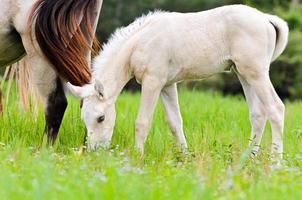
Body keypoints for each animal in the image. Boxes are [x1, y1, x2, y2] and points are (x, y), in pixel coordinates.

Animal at [67, 4, 290, 161]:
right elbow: (175, 122)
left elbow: (142, 122)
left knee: (276, 108)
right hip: (244, 75)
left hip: (256, 73)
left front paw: (138, 158)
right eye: (84, 119)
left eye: (101, 118)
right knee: (258, 114)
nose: (95, 152)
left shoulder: (152, 82)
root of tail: (266, 18)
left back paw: (275, 162)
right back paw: (247, 158)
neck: (139, 43)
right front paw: (185, 158)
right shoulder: (167, 85)